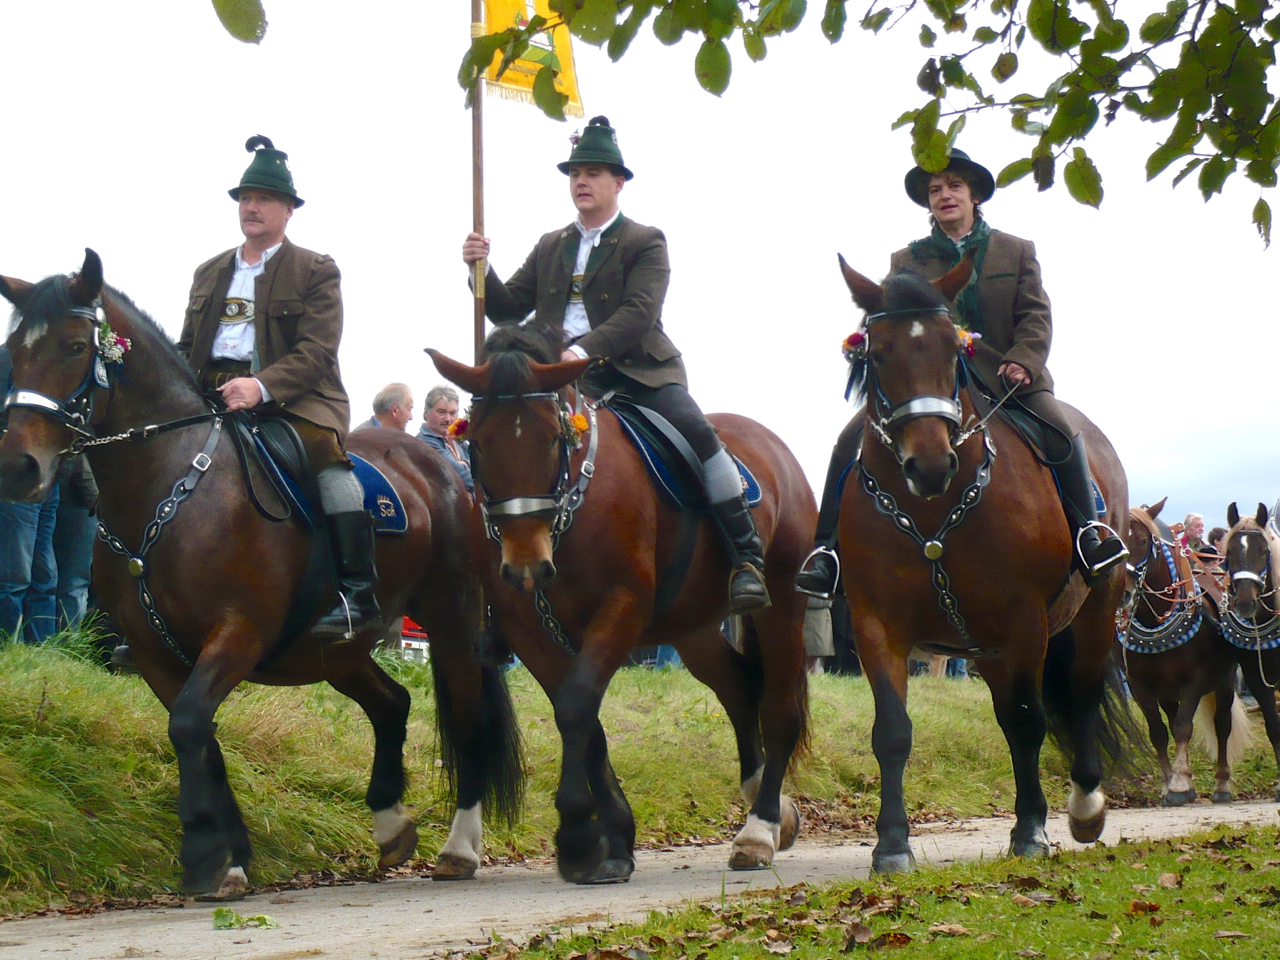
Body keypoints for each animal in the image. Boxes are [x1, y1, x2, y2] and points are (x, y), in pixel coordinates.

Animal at [0, 252, 522, 901]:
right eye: (12, 352)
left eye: (75, 346)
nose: (18, 468)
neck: (169, 486)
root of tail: (447, 469)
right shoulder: (153, 651)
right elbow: (198, 735)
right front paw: (230, 859)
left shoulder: (238, 632)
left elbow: (190, 725)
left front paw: (205, 854)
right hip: (335, 649)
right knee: (392, 703)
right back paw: (391, 823)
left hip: (451, 614)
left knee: (469, 716)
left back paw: (459, 848)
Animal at [427, 323, 808, 885]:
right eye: (476, 442)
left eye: (553, 439)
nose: (525, 566)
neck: (569, 513)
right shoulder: (528, 627)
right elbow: (584, 721)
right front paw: (614, 840)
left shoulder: (621, 608)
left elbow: (577, 704)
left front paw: (579, 836)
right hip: (692, 628)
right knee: (741, 689)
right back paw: (771, 807)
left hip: (782, 606)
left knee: (779, 709)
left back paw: (758, 831)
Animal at [839, 259, 1141, 875]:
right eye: (878, 355)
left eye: (951, 352)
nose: (930, 464)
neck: (932, 515)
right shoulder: (875, 624)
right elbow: (893, 732)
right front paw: (892, 844)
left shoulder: (1023, 620)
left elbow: (1029, 720)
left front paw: (1030, 833)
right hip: (988, 649)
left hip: (1092, 614)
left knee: (1081, 694)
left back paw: (1085, 806)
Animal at [1121, 499, 1249, 808]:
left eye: (1143, 541)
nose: (1124, 592)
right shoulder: (1139, 685)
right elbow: (1158, 732)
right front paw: (1170, 783)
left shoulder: (1195, 680)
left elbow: (1182, 728)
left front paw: (1179, 784)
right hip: (1167, 691)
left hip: (1225, 681)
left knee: (1222, 725)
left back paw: (1221, 785)